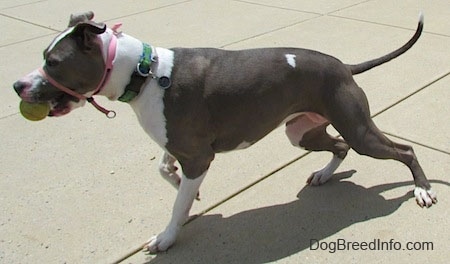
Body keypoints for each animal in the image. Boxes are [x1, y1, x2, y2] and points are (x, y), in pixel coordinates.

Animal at [13, 11, 436, 253]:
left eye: (53, 62)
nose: (17, 85)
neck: (144, 72)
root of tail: (344, 65)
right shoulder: (183, 146)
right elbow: (165, 168)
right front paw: (184, 188)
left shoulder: (198, 155)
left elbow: (177, 204)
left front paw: (167, 237)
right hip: (303, 131)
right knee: (339, 147)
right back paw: (323, 174)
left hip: (358, 129)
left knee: (404, 151)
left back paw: (423, 190)